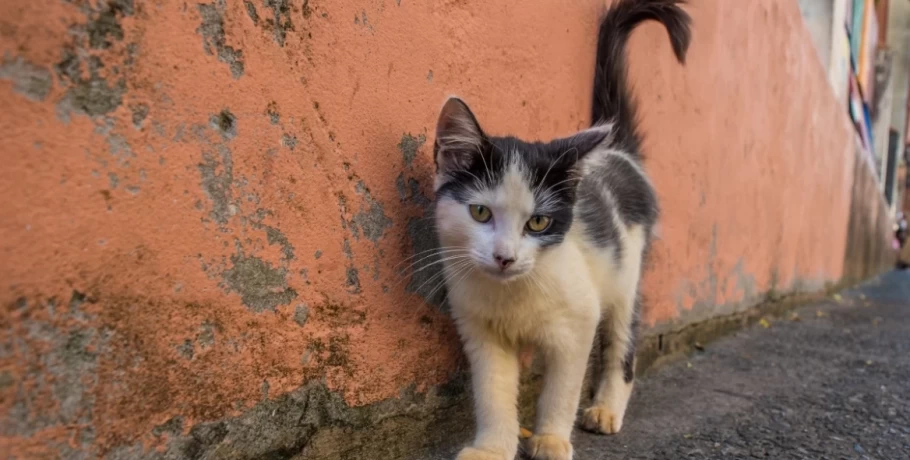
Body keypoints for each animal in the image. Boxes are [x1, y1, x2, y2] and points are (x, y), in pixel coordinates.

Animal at [432, 0, 696, 460]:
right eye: (480, 213)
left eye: (538, 222)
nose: (505, 257)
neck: (512, 294)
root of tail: (618, 152)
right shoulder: (480, 330)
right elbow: (493, 391)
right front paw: (493, 447)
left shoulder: (578, 320)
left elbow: (563, 387)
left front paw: (552, 439)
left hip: (627, 273)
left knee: (622, 342)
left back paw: (606, 408)